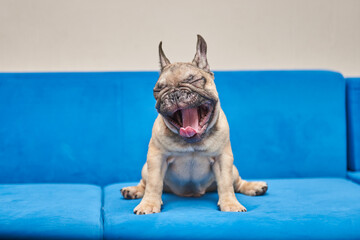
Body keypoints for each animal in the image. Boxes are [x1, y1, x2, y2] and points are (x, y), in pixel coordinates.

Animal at [121, 34, 268, 215]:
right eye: (158, 90)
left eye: (196, 80)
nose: (174, 94)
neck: (192, 142)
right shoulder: (156, 158)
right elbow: (154, 184)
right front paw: (148, 204)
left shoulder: (223, 159)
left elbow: (226, 184)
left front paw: (231, 204)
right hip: (145, 168)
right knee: (146, 183)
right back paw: (133, 190)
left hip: (233, 169)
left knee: (237, 183)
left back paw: (254, 186)